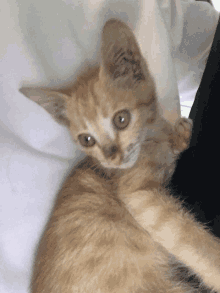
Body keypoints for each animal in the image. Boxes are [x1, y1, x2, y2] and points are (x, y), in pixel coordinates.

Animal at [20, 18, 220, 292]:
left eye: (121, 119)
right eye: (87, 139)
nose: (110, 156)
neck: (152, 141)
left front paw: (180, 133)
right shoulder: (140, 197)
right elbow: (190, 239)